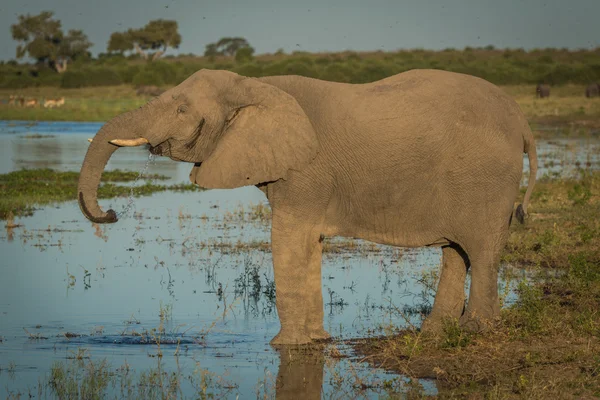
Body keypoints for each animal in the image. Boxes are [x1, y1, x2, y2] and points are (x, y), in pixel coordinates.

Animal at [78, 68, 540, 344]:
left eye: (180, 108)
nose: (109, 214)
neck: (254, 83)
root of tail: (523, 119)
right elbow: (307, 243)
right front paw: (317, 341)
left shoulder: (306, 170)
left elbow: (286, 239)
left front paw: (285, 346)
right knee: (456, 252)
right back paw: (434, 333)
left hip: (486, 180)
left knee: (480, 252)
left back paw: (477, 331)